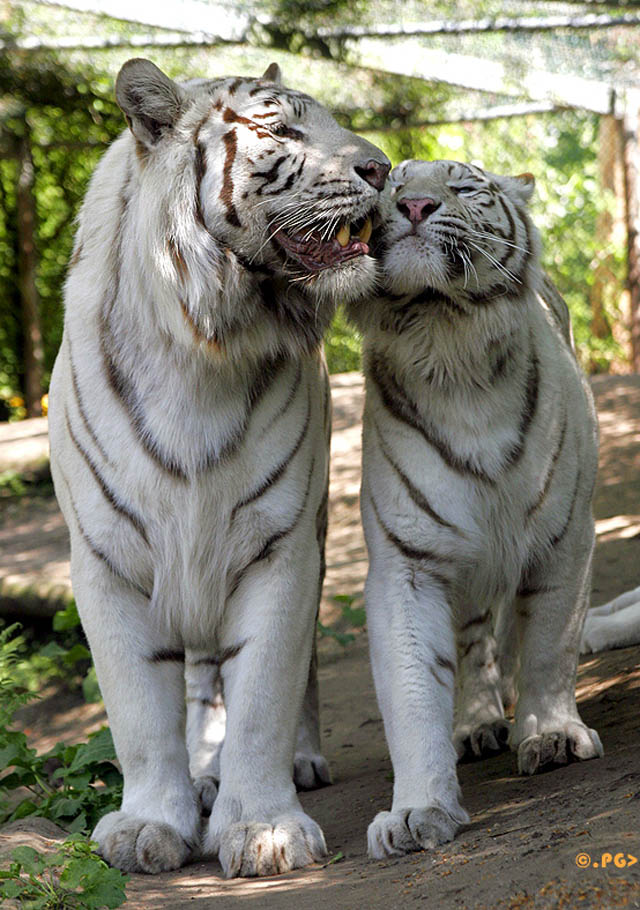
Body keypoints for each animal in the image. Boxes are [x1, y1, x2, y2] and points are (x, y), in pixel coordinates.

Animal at [48, 57, 390, 877]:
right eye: (283, 130)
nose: (384, 168)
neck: (202, 349)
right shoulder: (108, 561)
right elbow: (141, 713)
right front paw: (148, 825)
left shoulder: (279, 548)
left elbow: (264, 694)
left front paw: (265, 828)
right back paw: (203, 772)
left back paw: (294, 763)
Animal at [346, 159, 604, 859]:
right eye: (391, 183)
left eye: (462, 187)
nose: (415, 205)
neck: (448, 340)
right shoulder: (408, 564)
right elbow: (413, 690)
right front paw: (416, 811)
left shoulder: (566, 540)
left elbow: (548, 646)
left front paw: (551, 736)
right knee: (471, 643)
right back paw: (477, 721)